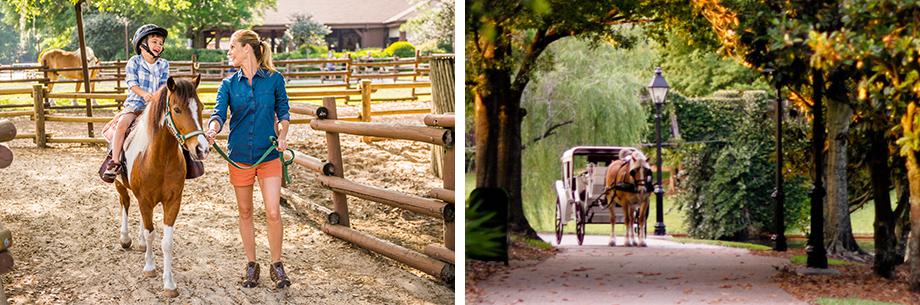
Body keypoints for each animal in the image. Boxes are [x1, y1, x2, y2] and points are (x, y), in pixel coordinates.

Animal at [113, 75, 208, 296]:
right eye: (177, 109)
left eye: (200, 106)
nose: (202, 149)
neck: (159, 159)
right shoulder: (145, 200)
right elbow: (151, 234)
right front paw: (149, 267)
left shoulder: (173, 202)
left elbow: (166, 242)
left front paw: (169, 284)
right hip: (120, 186)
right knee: (125, 204)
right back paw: (125, 239)